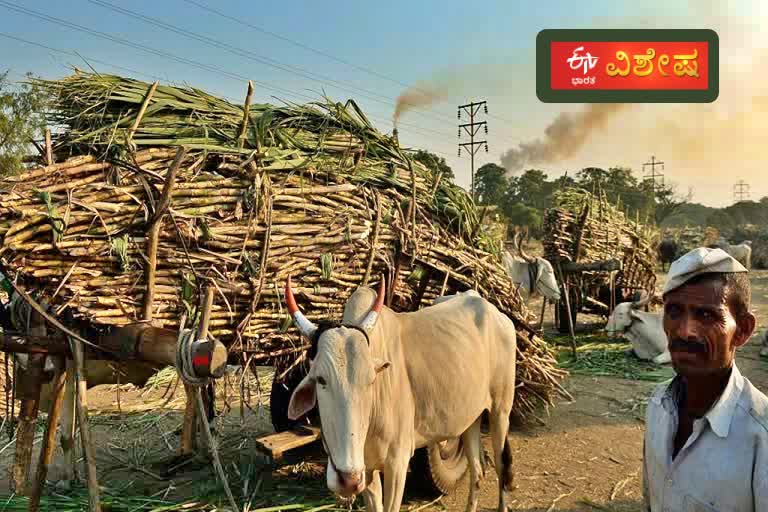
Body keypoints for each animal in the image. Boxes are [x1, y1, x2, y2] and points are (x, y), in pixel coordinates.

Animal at [284, 278, 520, 512]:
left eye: (371, 380)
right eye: (321, 380)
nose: (348, 479)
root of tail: (493, 310)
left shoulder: (397, 462)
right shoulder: (367, 470)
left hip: (500, 411)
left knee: (501, 467)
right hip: (470, 418)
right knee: (477, 471)